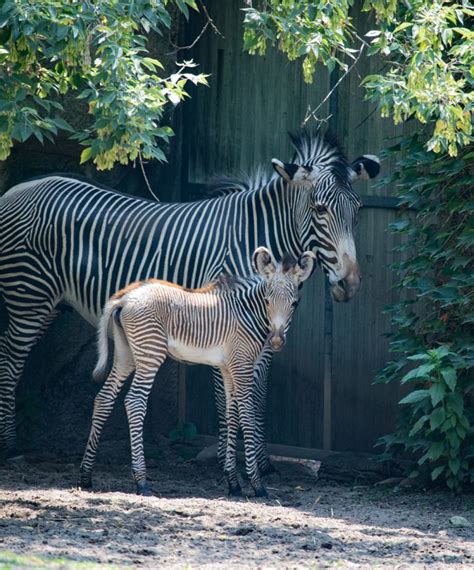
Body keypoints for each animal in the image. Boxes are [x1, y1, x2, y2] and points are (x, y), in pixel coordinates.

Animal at [0, 130, 380, 466]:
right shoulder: (228, 322)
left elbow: (257, 395)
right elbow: (228, 398)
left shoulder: (264, 332)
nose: (349, 284)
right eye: (319, 209)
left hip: (46, 302)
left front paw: (261, 464)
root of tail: (17, 189)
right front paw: (230, 464)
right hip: (28, 296)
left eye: (359, 209)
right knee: (9, 361)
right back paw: (10, 448)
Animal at [79, 246, 316, 494]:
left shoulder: (228, 367)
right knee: (134, 401)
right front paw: (256, 484)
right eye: (268, 301)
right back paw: (141, 481)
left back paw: (86, 476)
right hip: (150, 353)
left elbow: (231, 416)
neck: (247, 313)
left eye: (294, 304)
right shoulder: (242, 365)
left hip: (126, 354)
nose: (277, 342)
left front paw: (233, 482)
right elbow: (247, 416)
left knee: (104, 397)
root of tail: (125, 298)